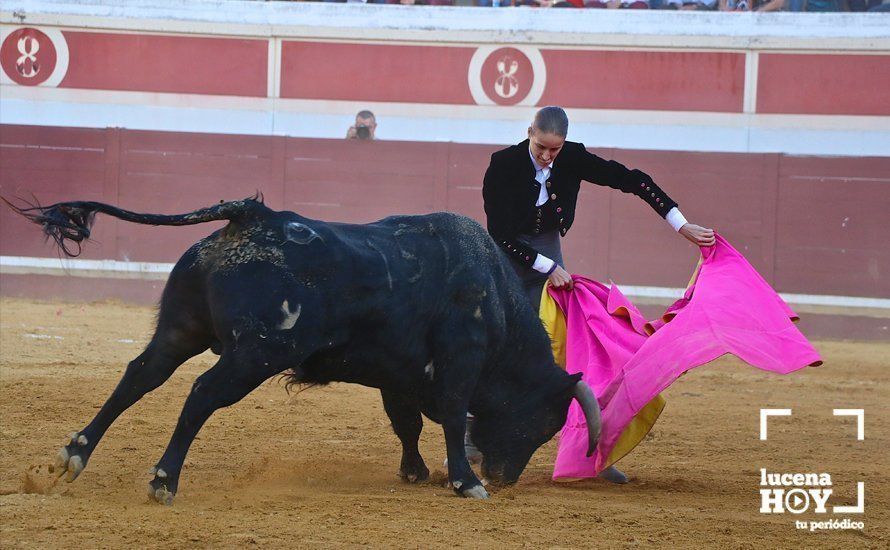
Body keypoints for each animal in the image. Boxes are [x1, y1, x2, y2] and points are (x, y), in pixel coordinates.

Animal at [8, 198, 596, 504]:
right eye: (546, 422)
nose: (504, 477)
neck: (494, 295)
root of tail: (252, 216)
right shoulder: (459, 363)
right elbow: (452, 417)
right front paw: (465, 482)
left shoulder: (400, 375)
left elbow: (406, 423)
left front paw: (414, 471)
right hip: (255, 354)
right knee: (200, 393)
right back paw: (163, 480)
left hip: (181, 330)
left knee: (139, 375)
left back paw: (73, 456)